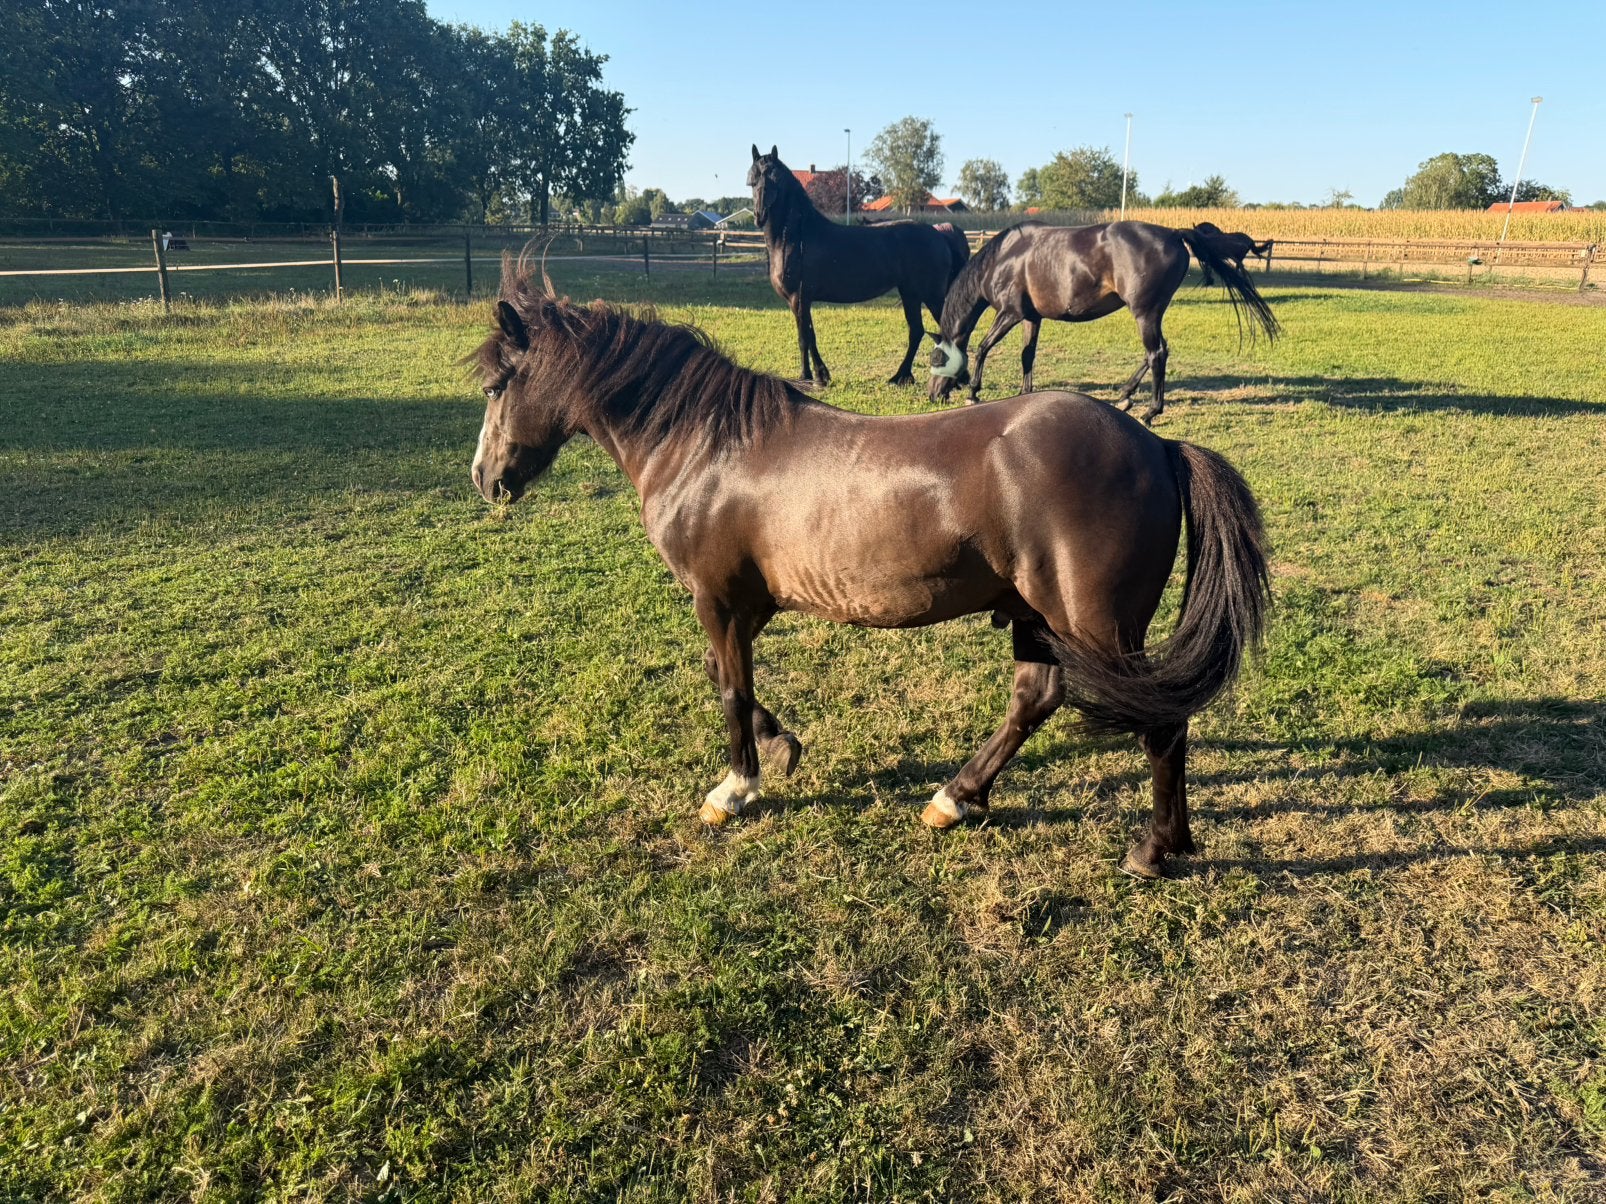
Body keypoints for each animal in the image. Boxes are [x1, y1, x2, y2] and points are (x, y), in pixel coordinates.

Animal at [469, 263, 1271, 879]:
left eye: (495, 387)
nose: (484, 479)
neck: (707, 447)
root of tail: (1157, 445)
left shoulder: (717, 599)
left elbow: (729, 687)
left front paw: (735, 788)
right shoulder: (741, 603)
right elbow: (724, 676)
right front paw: (783, 747)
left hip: (1094, 623)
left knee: (1161, 721)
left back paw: (1154, 850)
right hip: (1037, 615)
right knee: (1035, 698)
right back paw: (958, 798)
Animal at [747, 144, 970, 387]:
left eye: (775, 179)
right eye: (752, 180)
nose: (759, 216)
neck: (796, 237)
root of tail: (939, 233)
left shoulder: (800, 298)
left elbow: (804, 338)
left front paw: (810, 377)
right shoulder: (799, 301)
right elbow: (808, 335)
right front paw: (817, 375)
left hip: (931, 295)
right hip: (910, 293)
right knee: (917, 331)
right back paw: (901, 376)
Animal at [927, 220, 1280, 423]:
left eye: (936, 359)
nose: (932, 395)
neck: (1004, 258)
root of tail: (1173, 234)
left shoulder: (1010, 313)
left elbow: (983, 348)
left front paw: (973, 391)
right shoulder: (1030, 317)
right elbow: (1027, 356)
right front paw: (1024, 395)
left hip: (1144, 312)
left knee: (1156, 354)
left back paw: (1150, 411)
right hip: (1150, 312)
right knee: (1156, 352)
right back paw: (1125, 396)